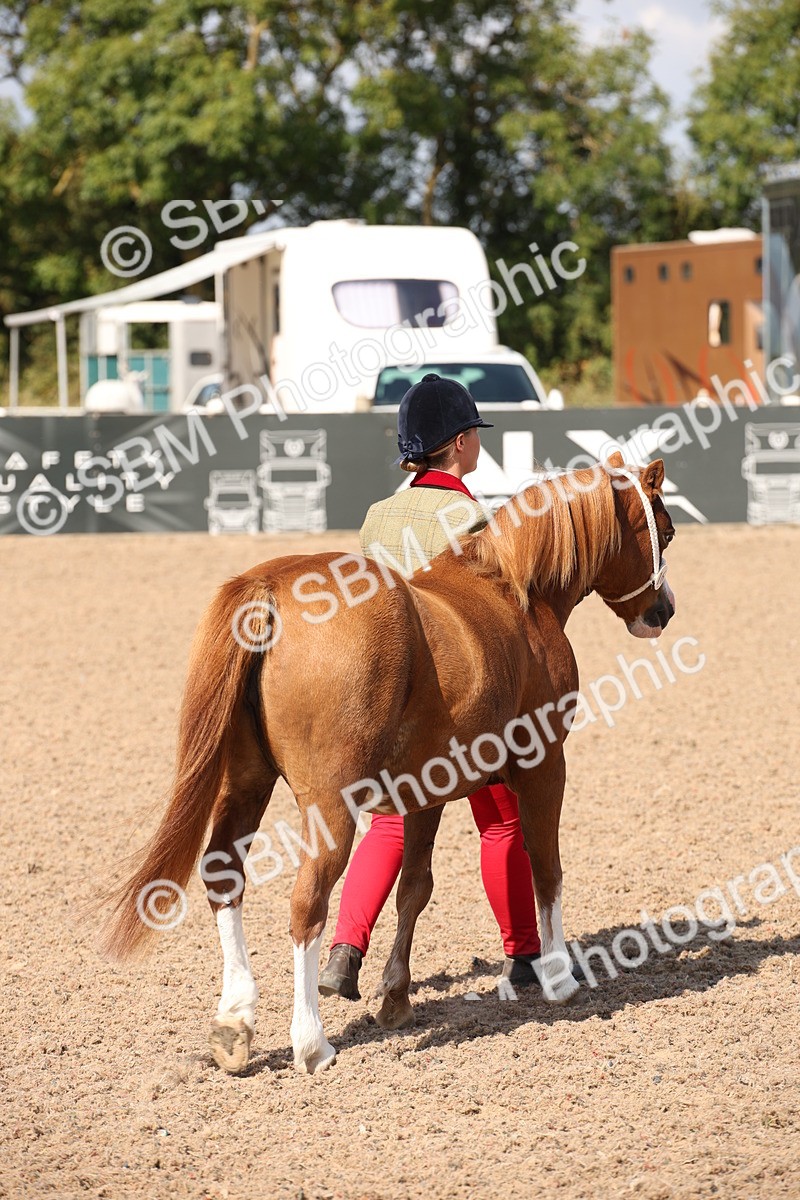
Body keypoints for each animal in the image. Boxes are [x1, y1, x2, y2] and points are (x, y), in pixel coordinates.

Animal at [102, 453, 676, 1075]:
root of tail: (271, 587)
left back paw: (236, 1022)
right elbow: (545, 867)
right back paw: (312, 1043)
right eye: (665, 532)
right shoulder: (544, 767)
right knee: (307, 901)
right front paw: (558, 977)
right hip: (330, 806)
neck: (516, 596)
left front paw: (395, 997)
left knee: (224, 877)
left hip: (247, 786)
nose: (663, 611)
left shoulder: (424, 791)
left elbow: (413, 887)